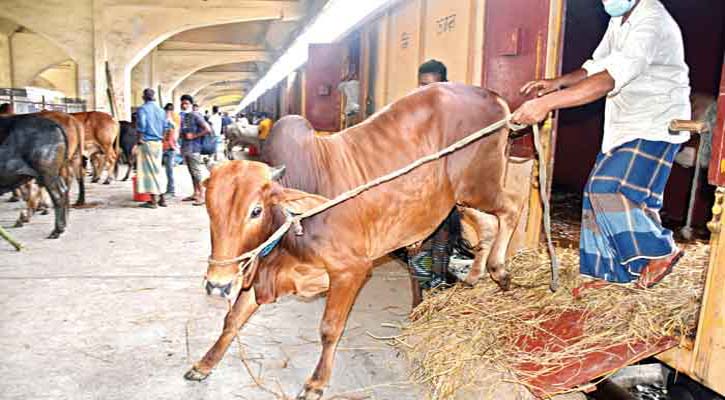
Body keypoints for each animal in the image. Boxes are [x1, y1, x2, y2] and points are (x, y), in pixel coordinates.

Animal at [187, 83, 528, 398]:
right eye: (210, 208)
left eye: (256, 210)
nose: (216, 284)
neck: (294, 225)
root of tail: (491, 95)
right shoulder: (261, 273)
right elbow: (232, 319)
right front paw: (204, 364)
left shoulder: (350, 270)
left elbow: (329, 328)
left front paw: (316, 383)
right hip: (462, 200)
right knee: (487, 225)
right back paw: (474, 276)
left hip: (480, 185)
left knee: (512, 207)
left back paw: (499, 271)